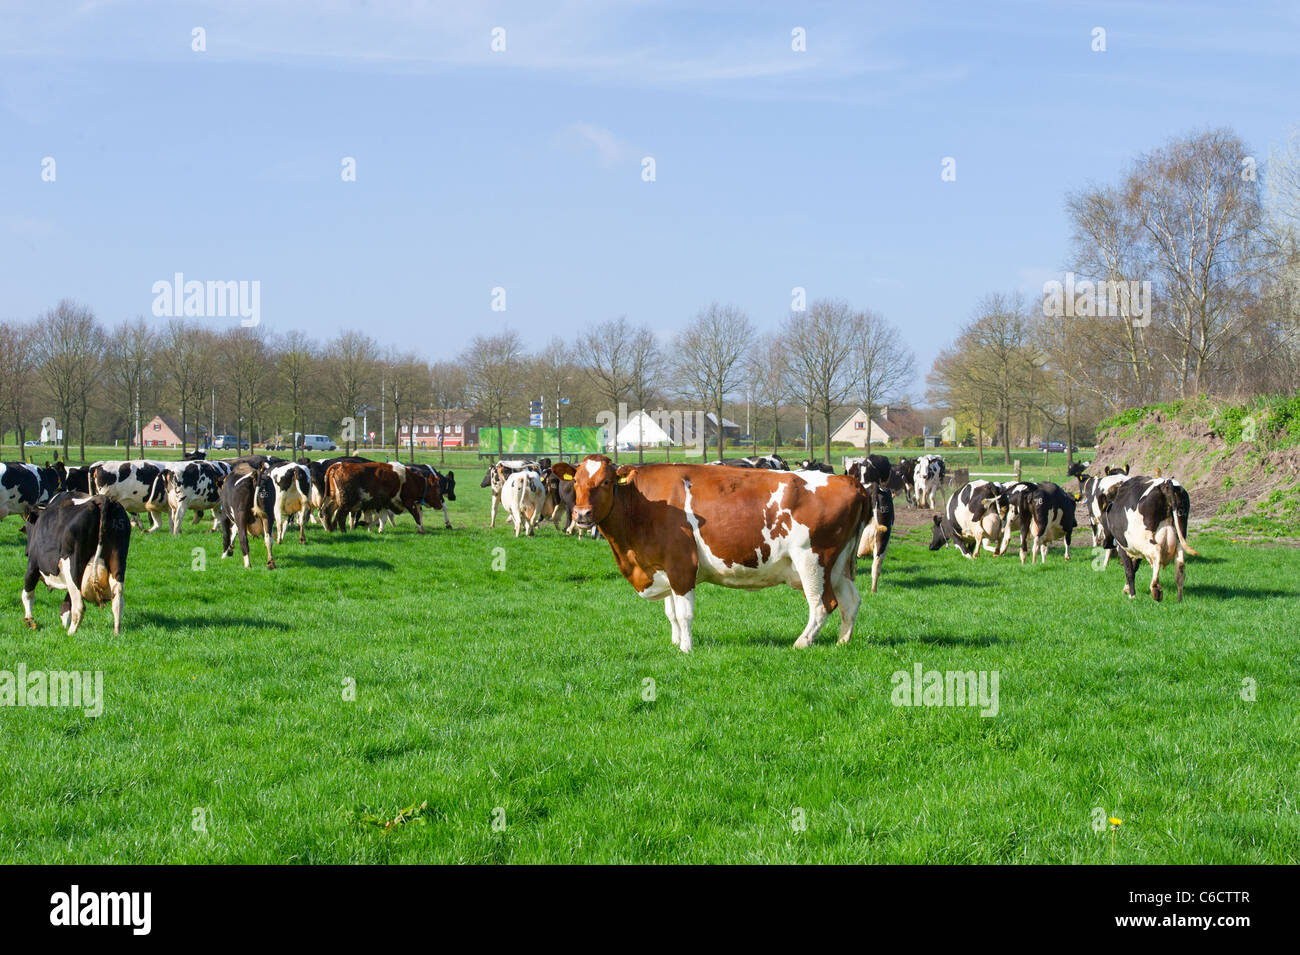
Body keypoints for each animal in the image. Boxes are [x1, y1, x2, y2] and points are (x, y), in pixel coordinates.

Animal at [20, 493, 130, 635]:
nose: (26, 551)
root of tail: (102, 499)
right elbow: (66, 606)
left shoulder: (33, 566)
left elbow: (27, 594)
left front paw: (29, 621)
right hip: (118, 560)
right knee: (117, 600)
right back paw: (116, 632)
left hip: (73, 565)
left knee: (79, 606)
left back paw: (70, 634)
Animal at [566, 455, 870, 652]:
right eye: (576, 482)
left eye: (606, 481)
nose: (581, 514)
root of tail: (848, 481)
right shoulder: (663, 566)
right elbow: (671, 612)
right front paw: (675, 642)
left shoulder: (681, 565)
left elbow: (684, 613)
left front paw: (685, 649)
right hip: (839, 565)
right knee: (850, 601)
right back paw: (842, 642)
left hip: (813, 559)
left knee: (822, 604)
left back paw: (802, 642)